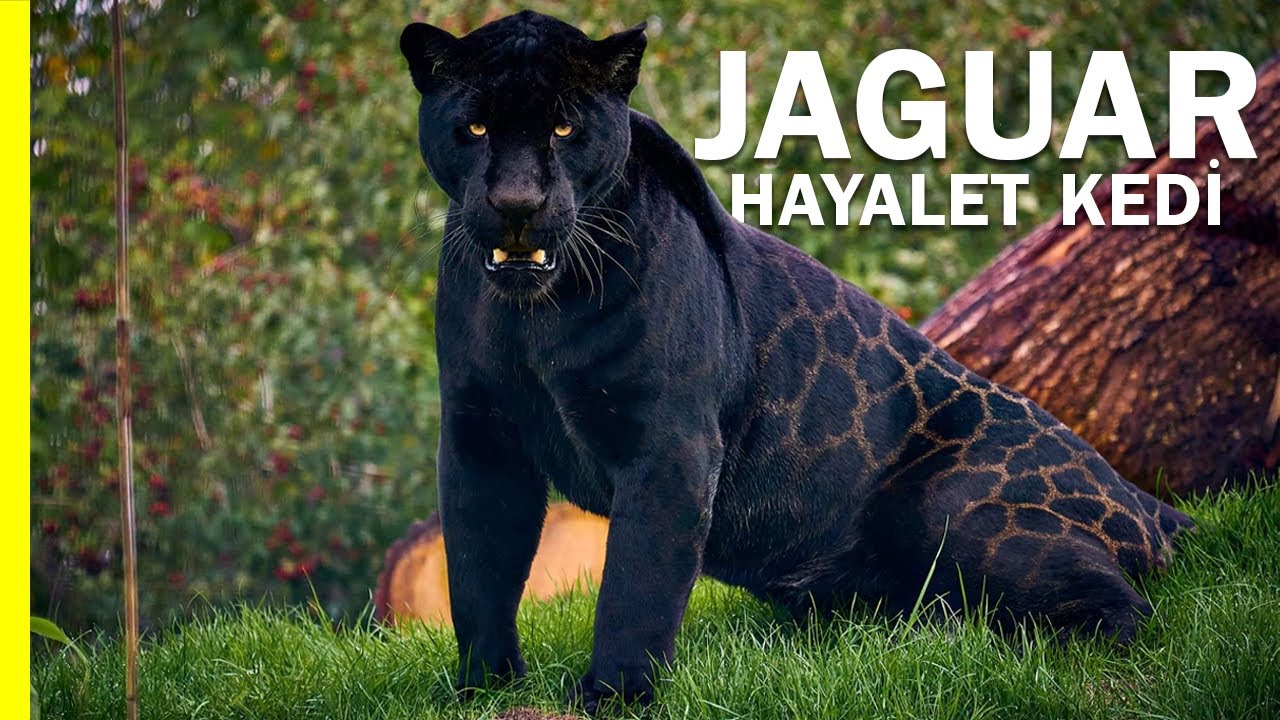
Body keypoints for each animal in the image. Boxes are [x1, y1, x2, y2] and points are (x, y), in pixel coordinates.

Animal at [398, 10, 1192, 712]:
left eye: (564, 127)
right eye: (475, 127)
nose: (517, 203)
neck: (535, 318)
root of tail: (1147, 499)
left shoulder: (668, 447)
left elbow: (633, 583)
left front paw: (613, 698)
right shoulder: (479, 439)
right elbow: (479, 573)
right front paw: (483, 690)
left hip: (948, 509)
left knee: (1126, 613)